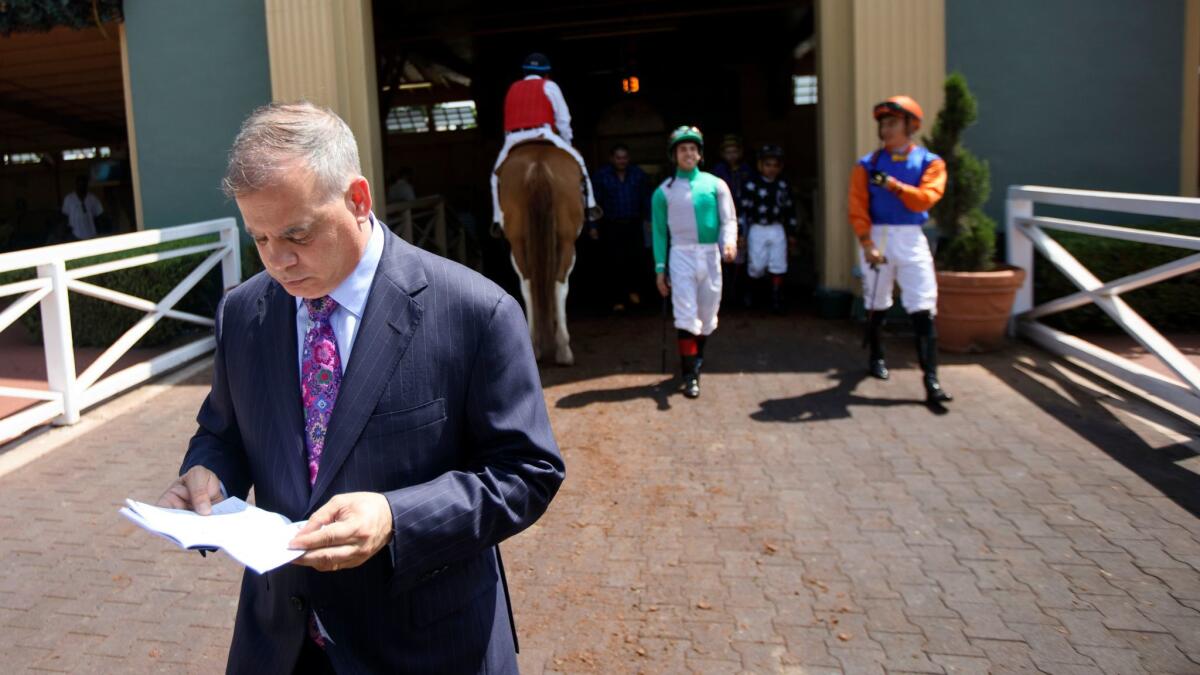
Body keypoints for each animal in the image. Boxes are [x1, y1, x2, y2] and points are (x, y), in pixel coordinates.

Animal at [499, 140, 583, 362]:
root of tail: (538, 165)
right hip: (567, 241)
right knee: (559, 283)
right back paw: (563, 348)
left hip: (517, 241)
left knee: (527, 283)